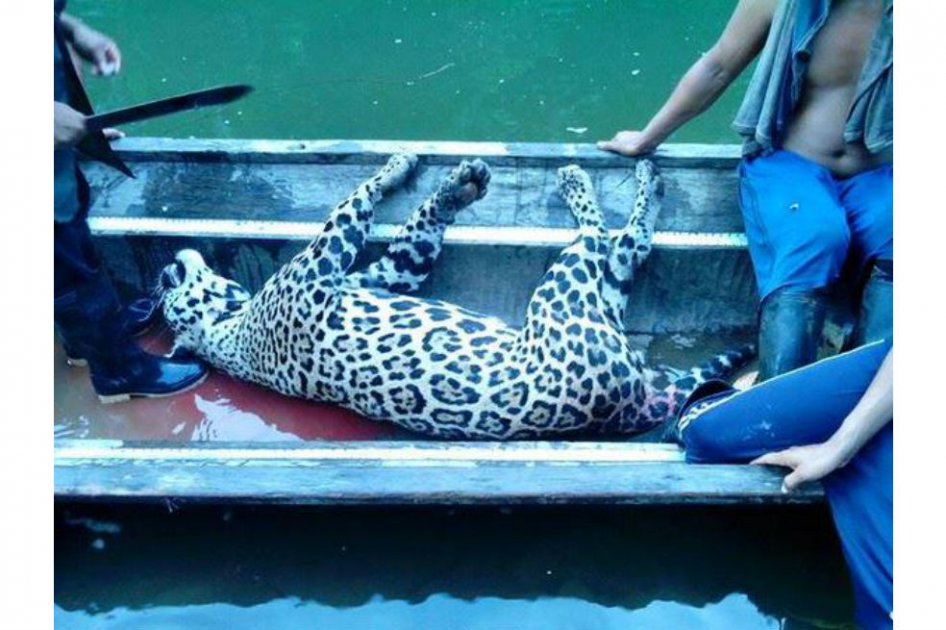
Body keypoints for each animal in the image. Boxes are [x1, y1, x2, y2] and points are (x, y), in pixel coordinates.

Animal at [158, 154, 753, 439]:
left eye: (165, 288)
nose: (164, 269)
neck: (231, 324)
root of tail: (633, 401)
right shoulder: (322, 261)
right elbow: (349, 206)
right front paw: (407, 169)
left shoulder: (385, 274)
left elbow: (413, 234)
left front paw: (440, 183)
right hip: (565, 289)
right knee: (609, 239)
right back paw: (591, 181)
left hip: (597, 299)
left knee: (628, 250)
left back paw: (647, 181)